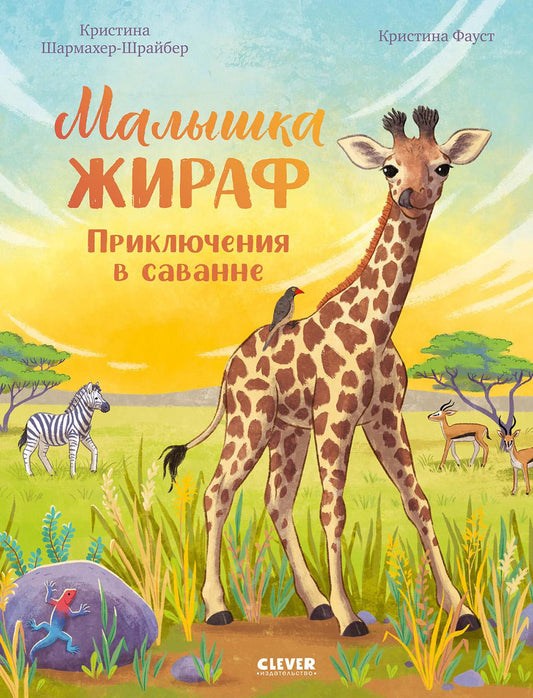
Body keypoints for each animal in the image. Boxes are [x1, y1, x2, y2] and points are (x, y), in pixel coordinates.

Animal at [162, 106, 491, 636]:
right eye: (389, 167)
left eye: (442, 166)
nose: (411, 196)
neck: (376, 327)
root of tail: (230, 365)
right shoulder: (335, 417)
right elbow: (332, 509)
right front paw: (348, 615)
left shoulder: (385, 418)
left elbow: (417, 502)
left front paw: (461, 611)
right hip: (251, 421)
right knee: (218, 491)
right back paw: (217, 608)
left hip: (287, 431)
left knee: (275, 500)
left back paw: (313, 602)